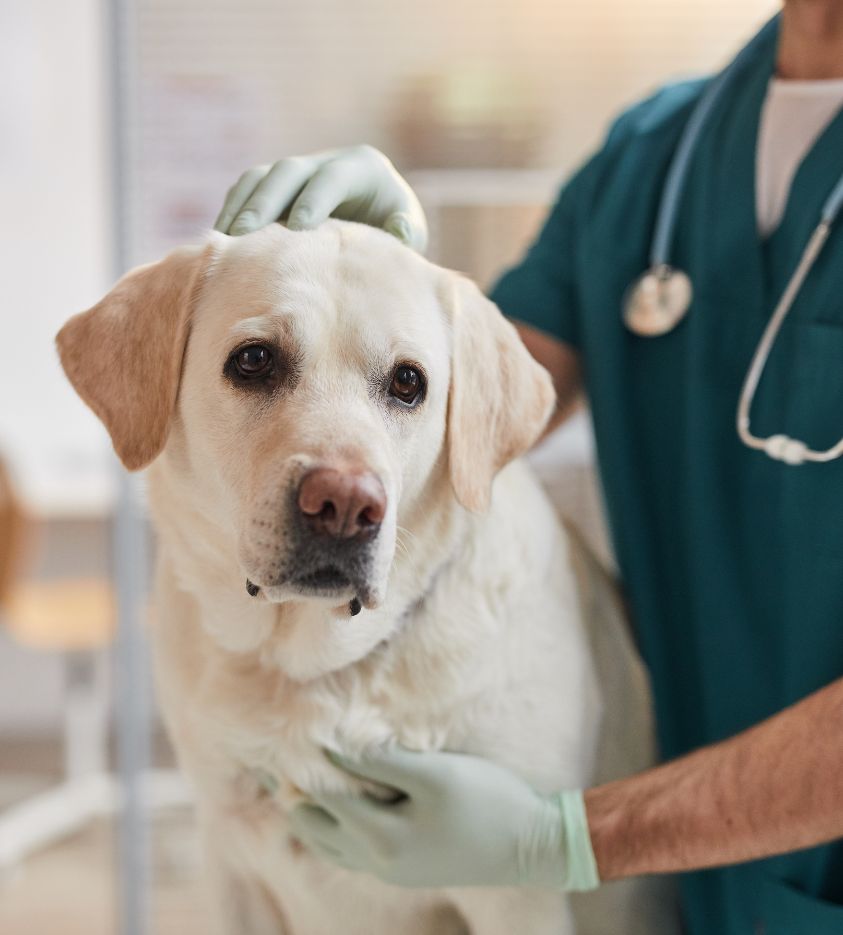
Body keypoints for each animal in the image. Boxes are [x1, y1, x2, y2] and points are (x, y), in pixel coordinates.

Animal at [57, 221, 680, 935]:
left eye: (409, 382)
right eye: (253, 360)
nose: (345, 505)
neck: (316, 671)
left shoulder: (519, 897)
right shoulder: (231, 863)